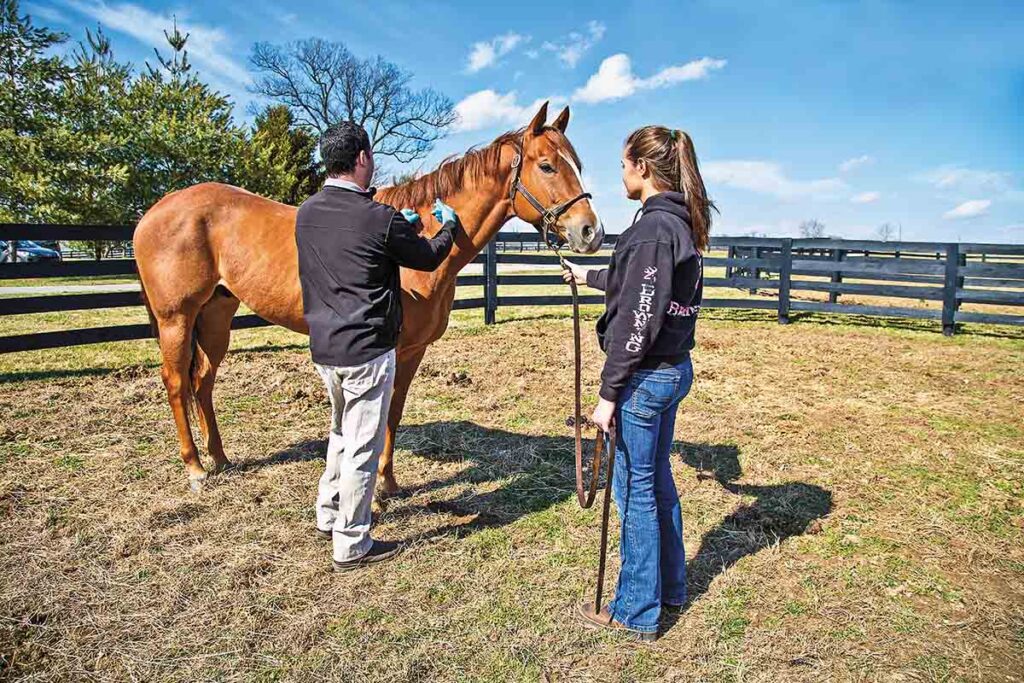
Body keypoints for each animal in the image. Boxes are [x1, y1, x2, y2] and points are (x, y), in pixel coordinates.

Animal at [133, 102, 603, 501]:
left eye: (578, 166)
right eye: (547, 165)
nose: (590, 233)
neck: (420, 242)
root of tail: (155, 211)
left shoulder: (412, 350)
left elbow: (393, 412)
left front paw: (388, 483)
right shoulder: (390, 348)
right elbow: (380, 417)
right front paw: (377, 487)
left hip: (216, 315)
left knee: (203, 382)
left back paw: (220, 458)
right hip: (176, 319)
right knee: (176, 382)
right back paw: (196, 468)